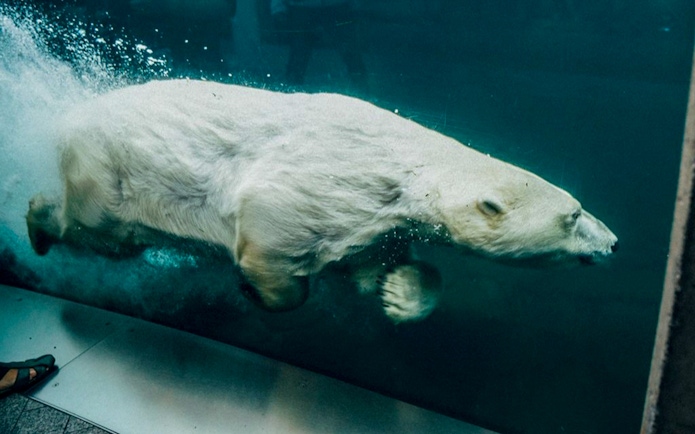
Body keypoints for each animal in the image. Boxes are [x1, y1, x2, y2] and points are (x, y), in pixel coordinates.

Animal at [26, 79, 618, 323]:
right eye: (574, 216)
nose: (613, 243)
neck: (406, 166)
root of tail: (68, 118)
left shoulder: (378, 220)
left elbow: (369, 267)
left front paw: (401, 294)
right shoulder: (338, 179)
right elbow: (272, 222)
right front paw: (259, 290)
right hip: (112, 169)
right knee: (97, 228)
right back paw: (36, 219)